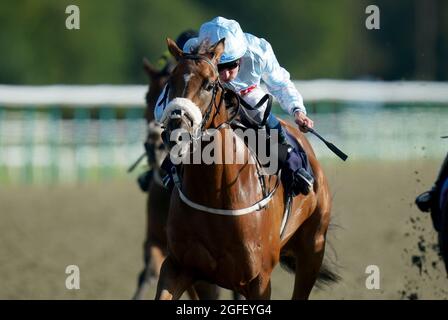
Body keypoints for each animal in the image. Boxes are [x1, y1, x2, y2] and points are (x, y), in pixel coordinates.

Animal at [156, 38, 338, 300]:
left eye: (209, 84)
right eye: (171, 82)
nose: (176, 131)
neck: (215, 194)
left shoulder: (258, 280)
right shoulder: (179, 267)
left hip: (312, 248)